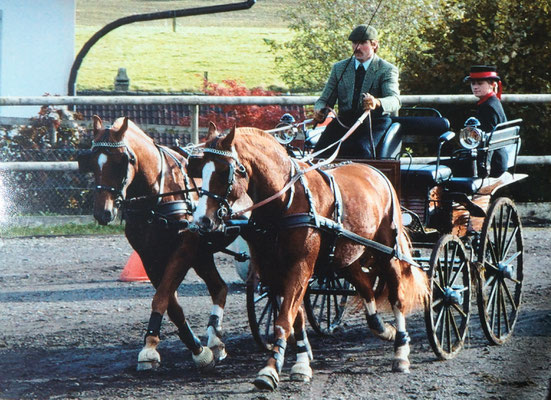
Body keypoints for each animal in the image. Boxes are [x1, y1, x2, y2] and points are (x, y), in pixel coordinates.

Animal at [77, 115, 229, 372]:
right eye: (93, 162)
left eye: (122, 161)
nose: (103, 212)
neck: (158, 196)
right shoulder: (150, 257)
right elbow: (171, 305)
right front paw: (197, 348)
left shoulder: (183, 250)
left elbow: (162, 296)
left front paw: (149, 348)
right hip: (203, 254)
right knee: (220, 287)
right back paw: (215, 340)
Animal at [194, 125, 432, 390]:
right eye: (200, 168)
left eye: (225, 171)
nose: (202, 220)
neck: (286, 202)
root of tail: (376, 172)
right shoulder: (274, 270)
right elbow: (295, 317)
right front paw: (301, 362)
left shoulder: (300, 266)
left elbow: (284, 319)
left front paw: (270, 369)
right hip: (346, 257)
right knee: (366, 288)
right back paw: (383, 329)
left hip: (388, 253)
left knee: (397, 297)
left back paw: (400, 351)